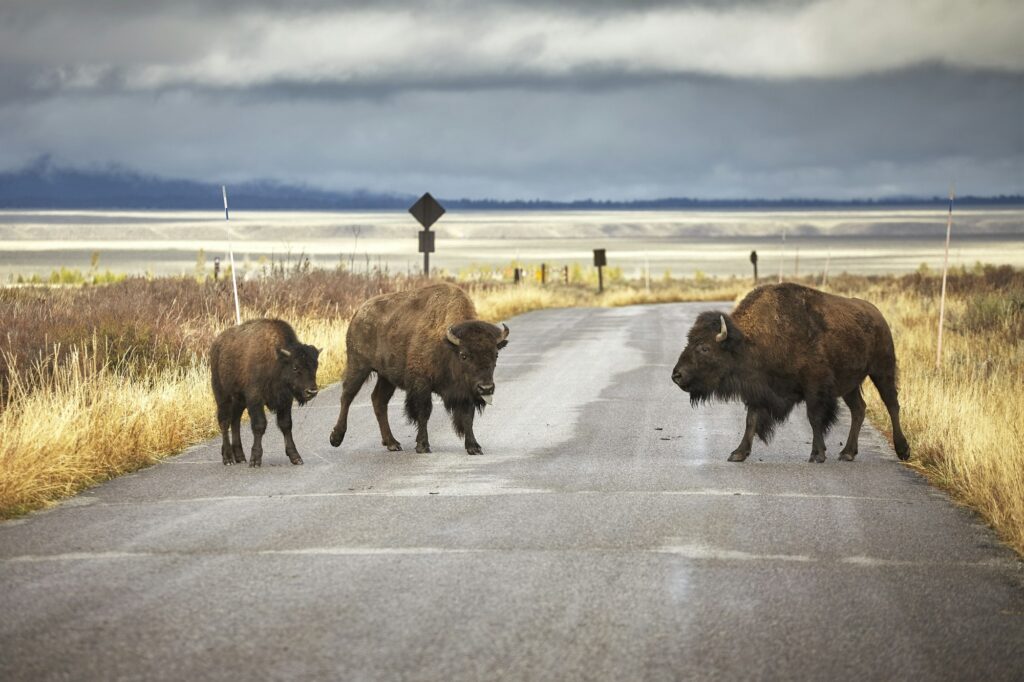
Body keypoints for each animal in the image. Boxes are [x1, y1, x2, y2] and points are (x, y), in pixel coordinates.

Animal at [210, 319, 320, 467]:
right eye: (295, 367)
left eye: (315, 366)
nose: (312, 391)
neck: (277, 360)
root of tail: (216, 344)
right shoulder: (255, 399)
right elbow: (259, 425)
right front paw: (255, 460)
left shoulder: (285, 400)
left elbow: (286, 425)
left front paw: (295, 457)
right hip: (222, 396)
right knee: (224, 421)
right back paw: (228, 458)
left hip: (239, 400)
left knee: (235, 421)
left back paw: (240, 456)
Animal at [329, 283, 509, 455]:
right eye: (464, 355)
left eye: (496, 355)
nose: (486, 388)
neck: (447, 345)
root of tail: (358, 313)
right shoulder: (422, 385)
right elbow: (424, 412)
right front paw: (423, 446)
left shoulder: (467, 393)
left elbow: (468, 416)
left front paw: (474, 447)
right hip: (358, 366)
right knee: (347, 396)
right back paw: (336, 438)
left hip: (386, 377)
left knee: (378, 400)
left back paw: (392, 443)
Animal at [671, 283, 909, 463]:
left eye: (704, 347)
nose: (676, 375)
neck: (749, 341)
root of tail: (877, 315)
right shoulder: (759, 390)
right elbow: (751, 420)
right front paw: (738, 453)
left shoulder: (814, 387)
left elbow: (814, 418)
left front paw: (817, 454)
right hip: (849, 384)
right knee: (859, 409)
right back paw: (847, 453)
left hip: (882, 370)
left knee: (892, 404)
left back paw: (903, 450)